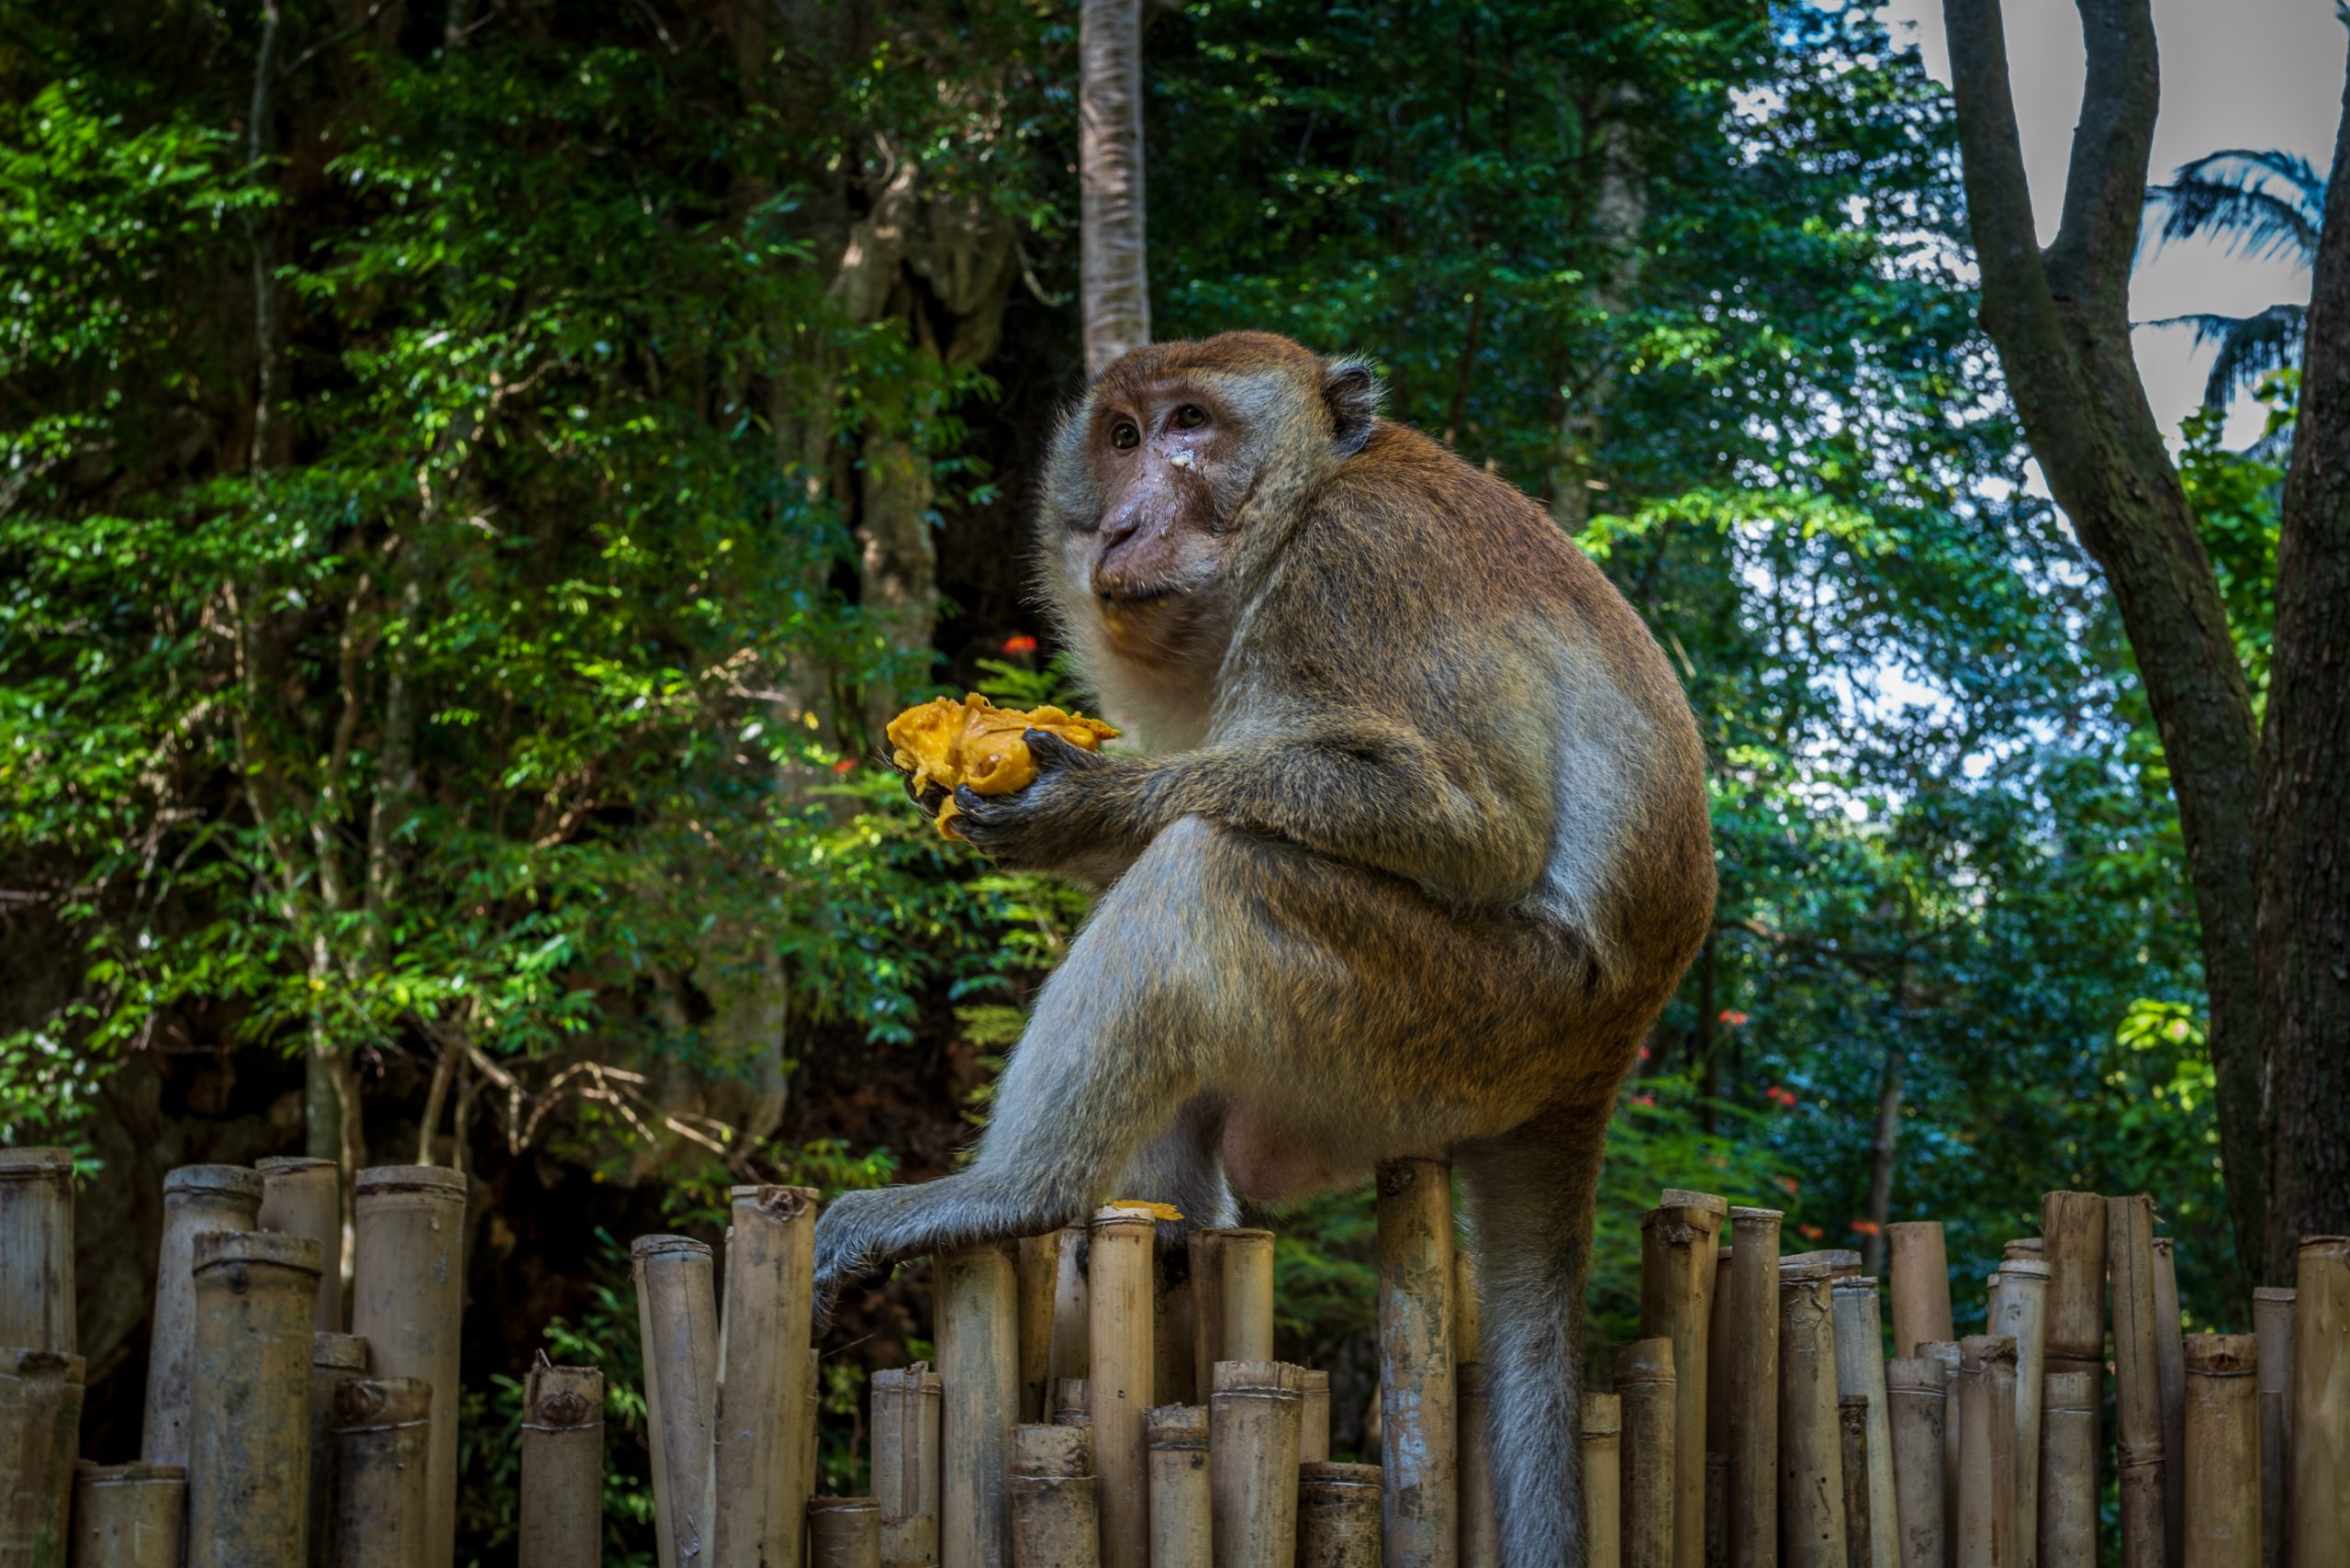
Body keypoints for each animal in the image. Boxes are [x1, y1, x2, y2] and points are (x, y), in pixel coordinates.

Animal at [814, 330, 1714, 1564]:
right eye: (1122, 435)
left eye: (1191, 424)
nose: (1124, 520)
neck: (1308, 499)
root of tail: (1597, 1066)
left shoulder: (1355, 565)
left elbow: (1472, 821)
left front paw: (1082, 803)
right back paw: (1162, 1238)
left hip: (1469, 1016)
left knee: (1213, 870)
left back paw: (1015, 1192)